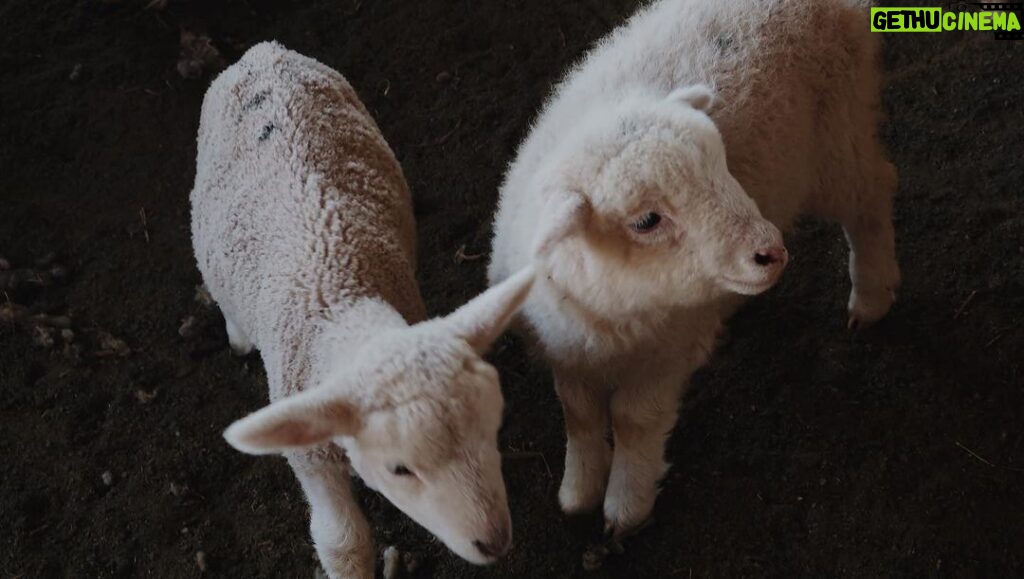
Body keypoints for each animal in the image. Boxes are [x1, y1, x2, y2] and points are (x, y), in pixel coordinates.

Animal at [190, 41, 536, 577]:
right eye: (400, 469)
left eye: (495, 427)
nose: (494, 542)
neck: (341, 296)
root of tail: (262, 52)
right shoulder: (309, 454)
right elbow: (341, 541)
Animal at [487, 0, 897, 536]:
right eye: (646, 221)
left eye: (721, 163)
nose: (771, 251)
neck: (615, 318)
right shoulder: (566, 350)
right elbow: (577, 412)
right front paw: (578, 488)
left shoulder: (666, 352)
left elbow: (633, 419)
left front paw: (625, 503)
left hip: (835, 137)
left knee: (871, 197)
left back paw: (871, 296)